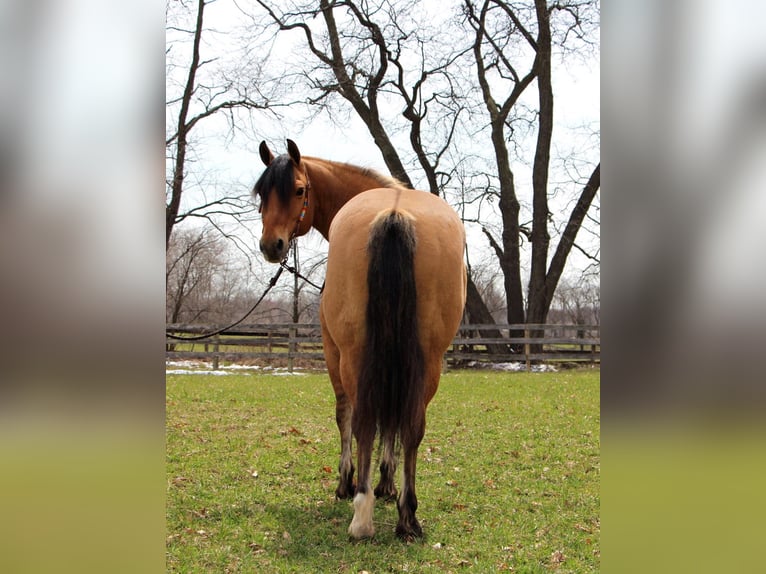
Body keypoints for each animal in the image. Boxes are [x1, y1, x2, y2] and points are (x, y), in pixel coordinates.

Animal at [255, 138, 468, 540]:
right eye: (262, 193)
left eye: (299, 190)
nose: (271, 245)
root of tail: (394, 214)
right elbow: (392, 423)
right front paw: (387, 484)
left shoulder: (332, 352)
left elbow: (345, 417)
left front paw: (347, 481)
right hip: (429, 359)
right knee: (411, 425)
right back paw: (407, 517)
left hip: (352, 356)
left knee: (363, 421)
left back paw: (362, 515)